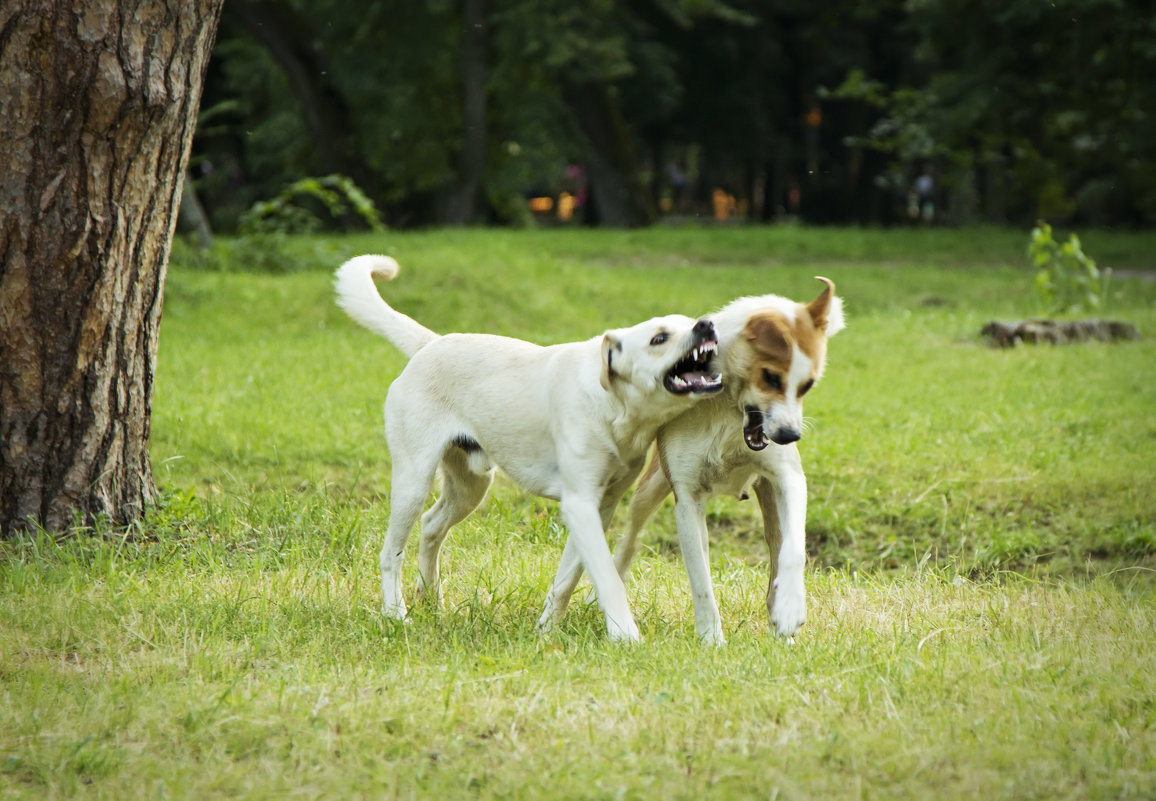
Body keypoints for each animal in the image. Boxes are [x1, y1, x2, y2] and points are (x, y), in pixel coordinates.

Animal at [330, 256, 721, 642]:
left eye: (689, 321)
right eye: (659, 338)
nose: (707, 325)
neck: (614, 406)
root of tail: (431, 343)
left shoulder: (601, 506)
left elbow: (567, 579)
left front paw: (546, 631)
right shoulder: (580, 505)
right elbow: (607, 578)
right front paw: (626, 637)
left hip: (470, 486)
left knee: (431, 525)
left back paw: (431, 599)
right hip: (413, 481)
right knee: (391, 553)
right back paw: (396, 614)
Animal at [536, 278, 846, 642]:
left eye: (807, 385)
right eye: (770, 377)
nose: (789, 434)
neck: (728, 410)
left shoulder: (788, 476)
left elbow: (793, 547)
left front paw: (789, 610)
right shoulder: (687, 498)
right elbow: (700, 579)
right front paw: (712, 640)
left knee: (776, 542)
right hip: (651, 485)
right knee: (630, 540)